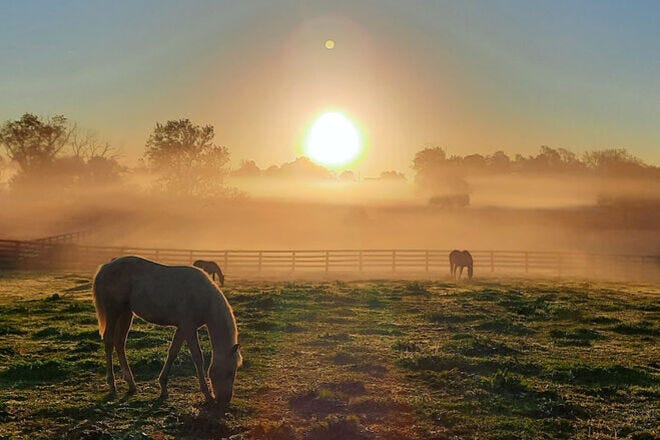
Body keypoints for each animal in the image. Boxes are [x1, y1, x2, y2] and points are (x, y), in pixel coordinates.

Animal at [92, 256, 241, 405]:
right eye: (230, 372)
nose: (225, 399)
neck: (204, 298)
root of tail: (105, 267)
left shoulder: (182, 328)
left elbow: (173, 352)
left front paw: (163, 387)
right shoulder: (189, 327)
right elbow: (197, 357)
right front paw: (207, 395)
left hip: (126, 313)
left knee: (119, 343)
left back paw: (131, 384)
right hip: (113, 312)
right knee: (109, 341)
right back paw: (112, 385)